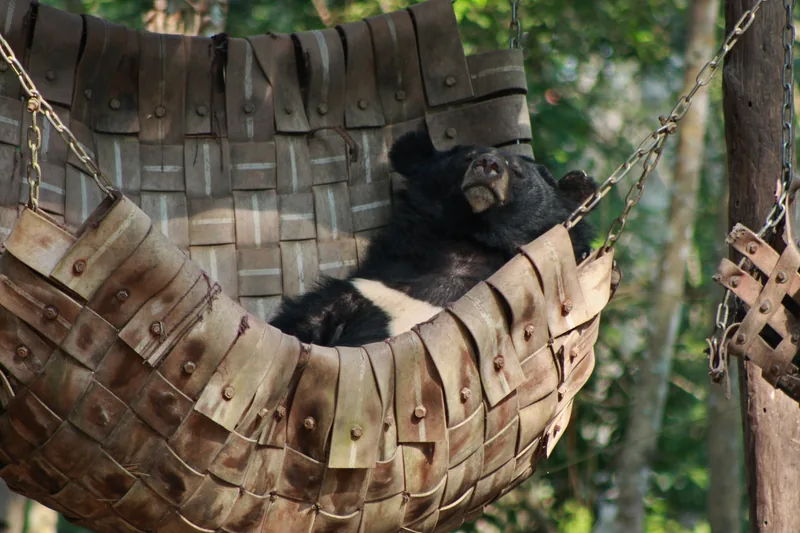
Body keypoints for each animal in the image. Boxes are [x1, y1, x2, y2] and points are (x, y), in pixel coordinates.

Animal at [269, 130, 597, 347]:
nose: (488, 164)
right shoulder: (367, 289)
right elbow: (303, 320)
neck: (470, 236)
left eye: (517, 172)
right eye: (467, 156)